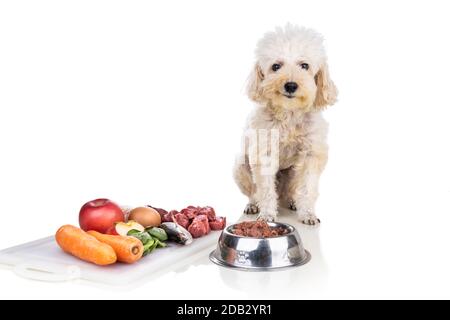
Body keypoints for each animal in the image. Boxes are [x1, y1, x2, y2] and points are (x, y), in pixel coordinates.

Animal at [234, 24, 336, 225]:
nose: (290, 85)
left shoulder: (311, 155)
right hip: (240, 166)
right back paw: (253, 204)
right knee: (254, 191)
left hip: (292, 174)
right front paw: (266, 215)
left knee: (292, 192)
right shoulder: (264, 153)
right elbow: (265, 189)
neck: (289, 114)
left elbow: (307, 188)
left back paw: (293, 202)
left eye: (304, 65)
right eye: (276, 66)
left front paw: (308, 214)